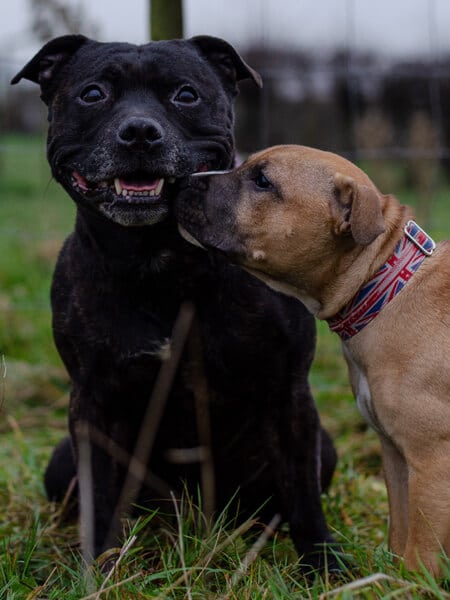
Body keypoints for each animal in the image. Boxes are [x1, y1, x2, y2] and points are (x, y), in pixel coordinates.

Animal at [12, 34, 338, 568]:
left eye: (186, 95)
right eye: (92, 94)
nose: (140, 132)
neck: (159, 260)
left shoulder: (289, 390)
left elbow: (304, 496)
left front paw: (325, 565)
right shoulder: (93, 401)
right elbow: (98, 495)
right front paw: (98, 568)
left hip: (321, 448)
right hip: (61, 461)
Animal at [176, 143, 450, 576]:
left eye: (263, 181)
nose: (182, 179)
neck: (383, 287)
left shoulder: (432, 461)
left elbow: (420, 548)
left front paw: (416, 583)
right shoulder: (395, 455)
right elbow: (400, 532)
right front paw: (390, 581)